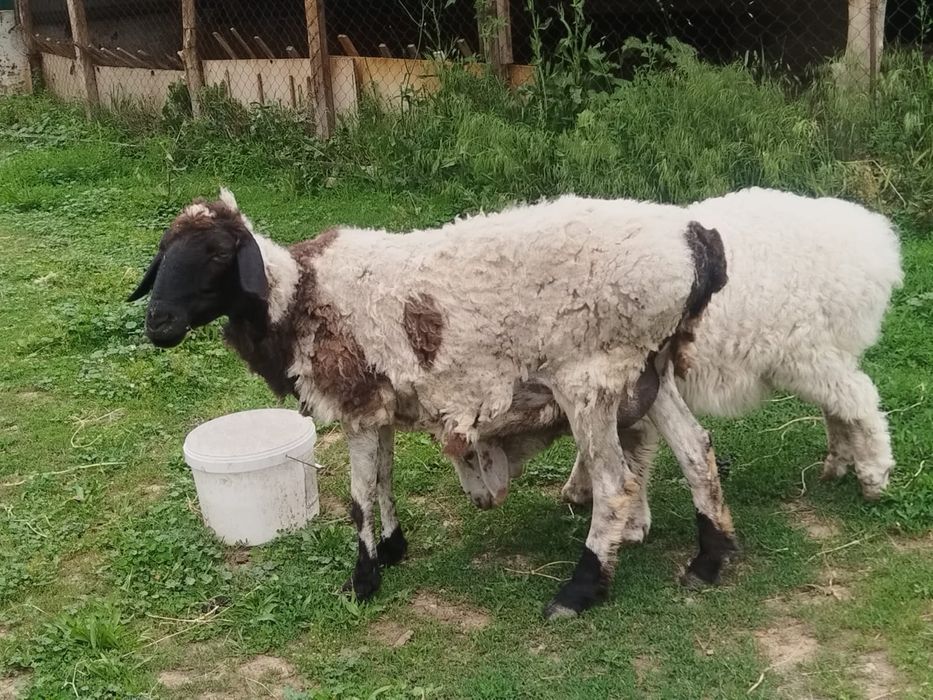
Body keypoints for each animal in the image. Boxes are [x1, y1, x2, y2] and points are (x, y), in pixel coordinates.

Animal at [128, 189, 732, 618]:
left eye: (217, 254)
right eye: (162, 254)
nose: (158, 322)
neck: (298, 296)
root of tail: (695, 240)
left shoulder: (356, 403)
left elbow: (358, 498)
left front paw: (362, 580)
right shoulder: (379, 405)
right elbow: (384, 481)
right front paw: (392, 549)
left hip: (591, 377)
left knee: (616, 485)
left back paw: (579, 590)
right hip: (649, 367)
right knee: (696, 450)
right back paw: (710, 559)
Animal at [452, 188, 903, 552]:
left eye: (471, 455)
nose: (480, 502)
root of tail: (873, 242)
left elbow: (627, 453)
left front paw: (627, 521)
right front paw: (584, 490)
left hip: (807, 352)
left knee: (861, 399)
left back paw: (874, 475)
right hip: (821, 355)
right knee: (840, 405)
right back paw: (838, 463)